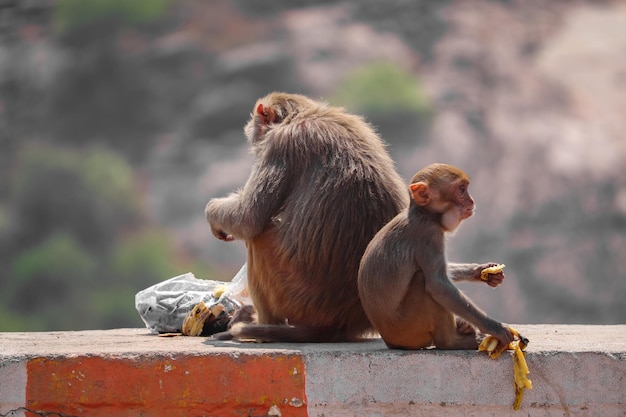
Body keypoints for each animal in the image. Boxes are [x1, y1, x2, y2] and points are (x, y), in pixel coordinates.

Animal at [206, 92, 410, 342]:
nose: (250, 131)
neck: (302, 116)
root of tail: (343, 322)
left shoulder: (279, 145)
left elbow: (249, 218)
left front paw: (212, 212)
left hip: (294, 298)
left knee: (259, 239)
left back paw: (262, 327)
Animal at [356, 162, 512, 348]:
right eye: (461, 189)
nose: (472, 201)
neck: (426, 215)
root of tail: (389, 341)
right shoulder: (429, 234)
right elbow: (438, 285)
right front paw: (496, 328)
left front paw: (481, 271)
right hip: (408, 329)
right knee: (423, 281)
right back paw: (452, 341)